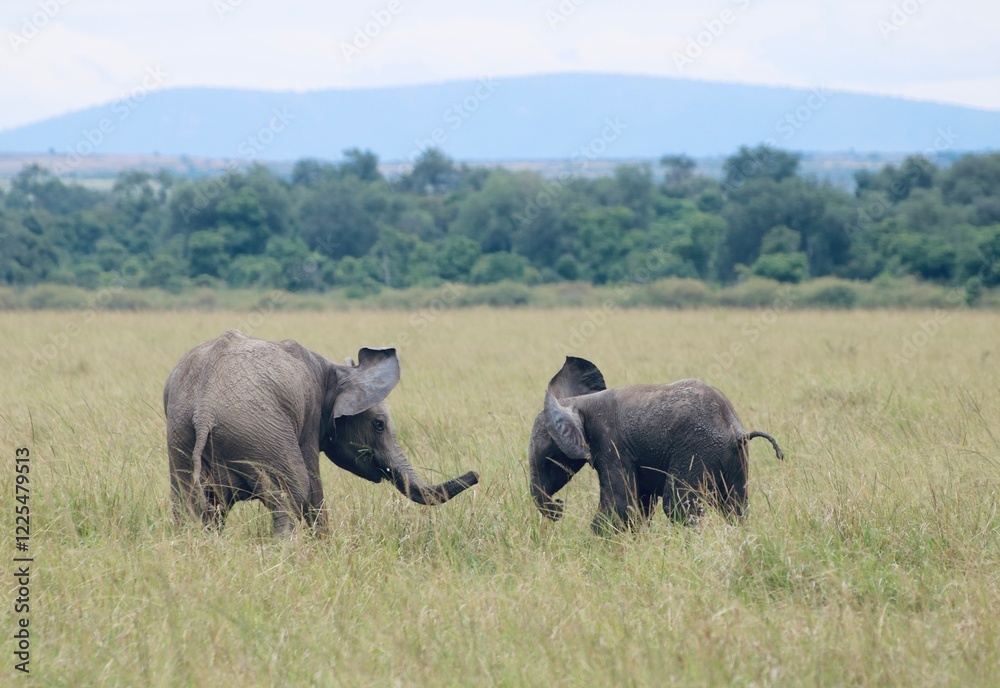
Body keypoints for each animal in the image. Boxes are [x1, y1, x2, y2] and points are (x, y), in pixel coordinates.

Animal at [164, 329, 479, 535]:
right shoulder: (310, 417)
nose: (476, 474)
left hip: (181, 436)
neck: (335, 371)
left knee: (189, 505)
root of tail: (203, 409)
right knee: (293, 491)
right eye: (378, 425)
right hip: (259, 434)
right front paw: (326, 548)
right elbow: (313, 488)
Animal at [529, 356, 784, 534]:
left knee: (678, 508)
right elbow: (639, 506)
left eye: (548, 458)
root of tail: (737, 431)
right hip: (735, 459)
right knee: (735, 507)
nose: (559, 507)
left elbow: (620, 505)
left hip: (697, 450)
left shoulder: (612, 445)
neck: (579, 402)